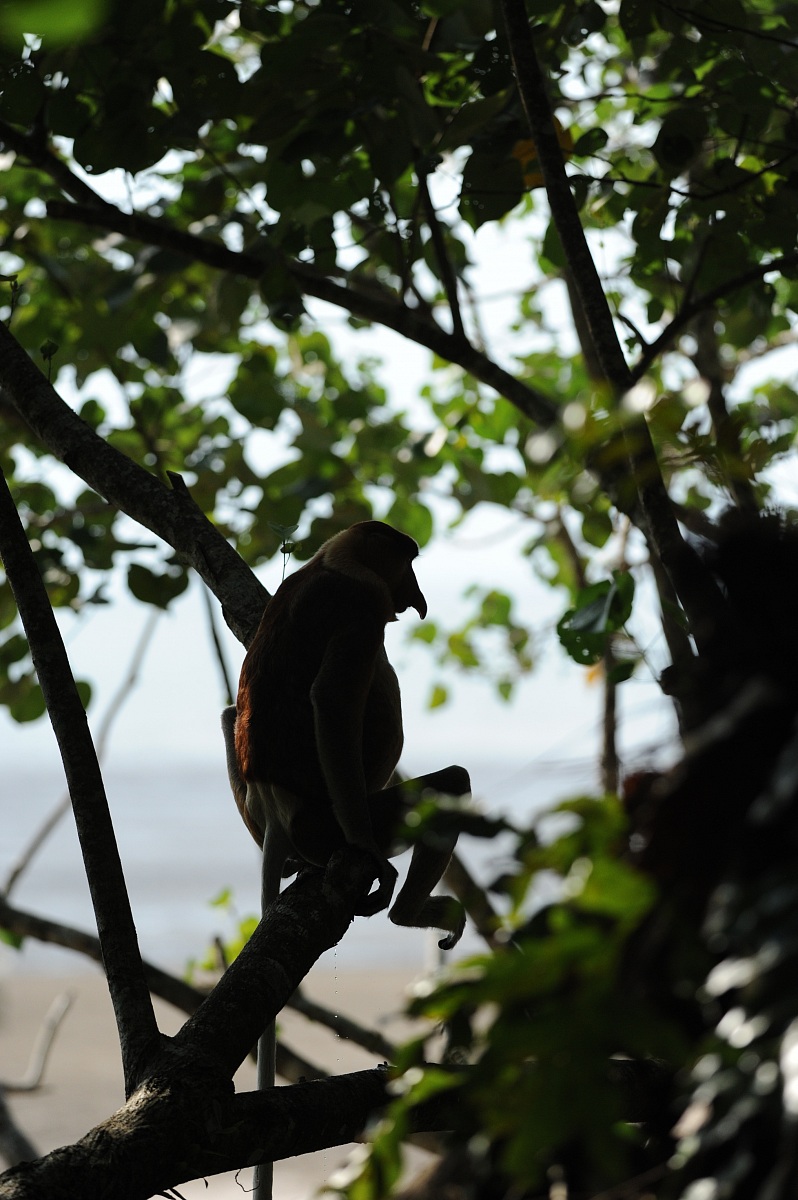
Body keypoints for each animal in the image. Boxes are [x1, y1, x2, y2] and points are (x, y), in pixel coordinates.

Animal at [222, 521, 470, 1198]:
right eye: (406, 563)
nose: (416, 594)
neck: (329, 562)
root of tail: (276, 815)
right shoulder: (361, 613)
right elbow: (332, 704)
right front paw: (368, 859)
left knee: (227, 712)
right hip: (333, 818)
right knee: (450, 783)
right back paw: (407, 906)